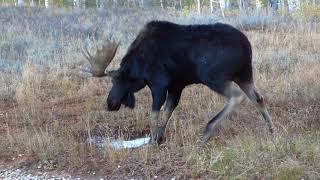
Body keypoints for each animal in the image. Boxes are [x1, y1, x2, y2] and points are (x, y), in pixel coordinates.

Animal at [81, 20, 274, 143]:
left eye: (116, 80)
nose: (110, 103)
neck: (139, 67)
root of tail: (247, 47)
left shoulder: (159, 84)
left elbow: (154, 113)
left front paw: (153, 140)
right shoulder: (177, 86)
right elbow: (167, 112)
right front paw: (159, 137)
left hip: (213, 77)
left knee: (237, 96)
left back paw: (207, 130)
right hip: (245, 75)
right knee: (258, 98)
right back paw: (271, 130)